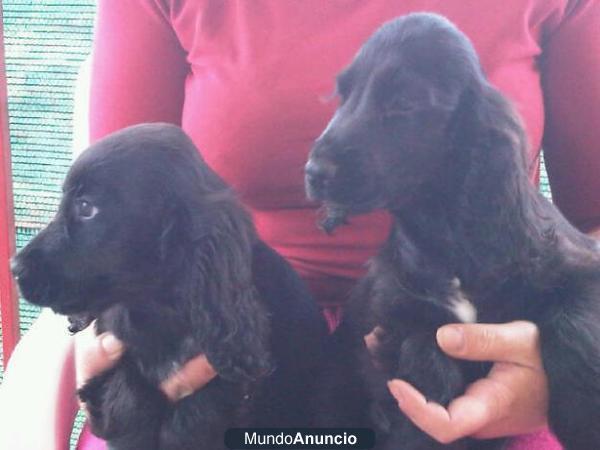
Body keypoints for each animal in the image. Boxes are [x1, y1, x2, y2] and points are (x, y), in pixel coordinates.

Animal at [10, 122, 328, 450]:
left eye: (86, 208)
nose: (14, 268)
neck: (153, 306)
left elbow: (194, 418)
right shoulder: (108, 360)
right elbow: (126, 395)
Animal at [308, 12, 600, 450]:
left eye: (403, 102)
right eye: (343, 95)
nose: (314, 172)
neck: (448, 244)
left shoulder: (577, 264)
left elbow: (576, 321)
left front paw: (585, 417)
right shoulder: (390, 312)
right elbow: (420, 360)